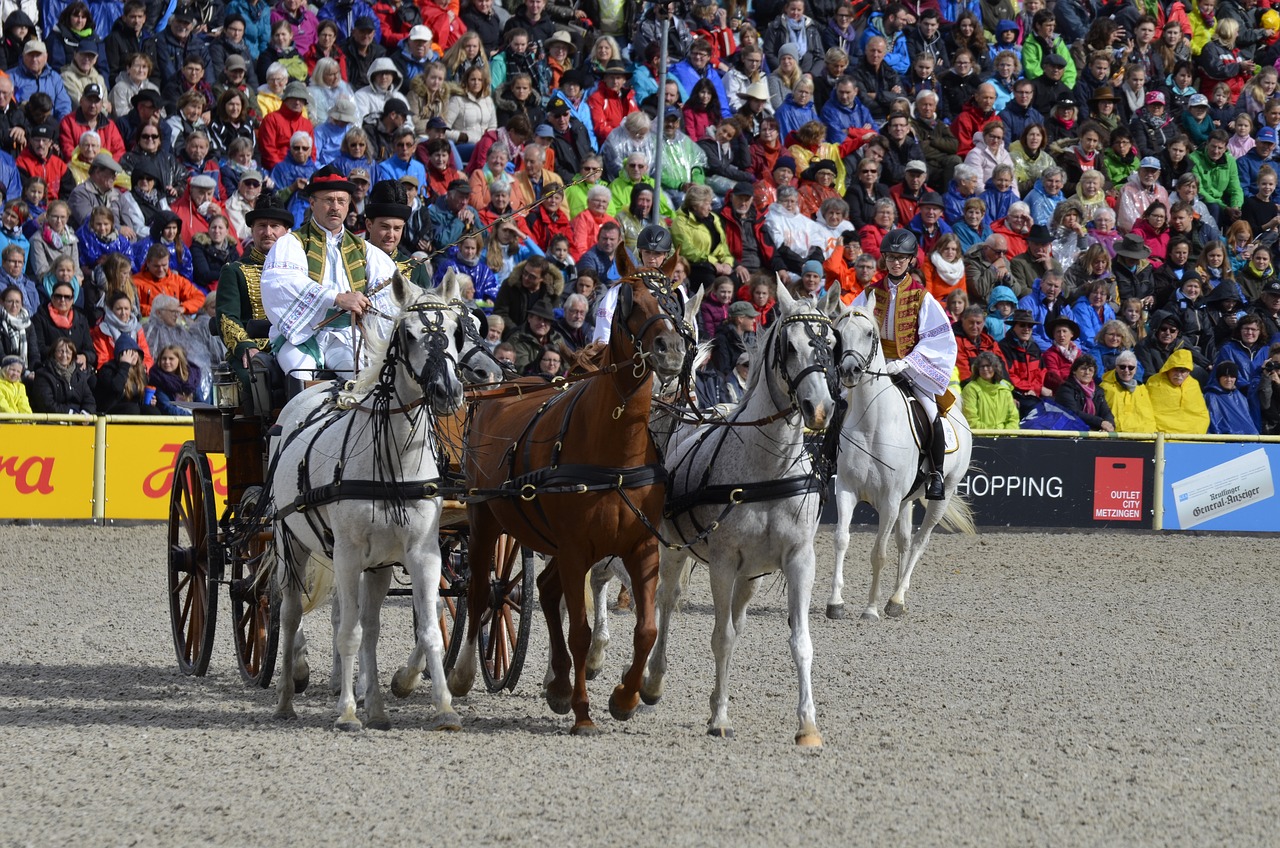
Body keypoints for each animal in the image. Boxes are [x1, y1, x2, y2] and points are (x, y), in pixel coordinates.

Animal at [272, 272, 468, 732]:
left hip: (376, 565)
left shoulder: (423, 553)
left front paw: (444, 707)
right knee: (291, 615)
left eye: (457, 331)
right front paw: (346, 712)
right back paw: (288, 695)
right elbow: (349, 633)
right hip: (291, 543)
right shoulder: (346, 553)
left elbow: (428, 630)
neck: (395, 459)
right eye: (408, 334)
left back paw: (376, 708)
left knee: (370, 625)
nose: (446, 391)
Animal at [453, 247, 691, 737]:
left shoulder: (640, 547)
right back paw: (465, 672)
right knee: (480, 593)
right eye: (630, 302)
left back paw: (559, 684)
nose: (671, 350)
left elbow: (646, 629)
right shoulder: (577, 548)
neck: (614, 448)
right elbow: (579, 629)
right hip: (485, 520)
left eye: (674, 299)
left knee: (543, 590)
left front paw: (624, 697)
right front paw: (584, 712)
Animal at [640, 286, 839, 753]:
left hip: (752, 576)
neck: (767, 468)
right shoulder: (723, 561)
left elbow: (800, 643)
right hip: (674, 549)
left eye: (831, 346)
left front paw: (807, 725)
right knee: (668, 602)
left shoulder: (799, 560)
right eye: (791, 347)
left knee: (736, 616)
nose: (820, 409)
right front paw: (720, 719)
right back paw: (653, 682)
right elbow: (722, 638)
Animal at [824, 292, 972, 625]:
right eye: (838, 334)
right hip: (907, 501)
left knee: (919, 541)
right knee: (904, 540)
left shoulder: (890, 499)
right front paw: (835, 603)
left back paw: (895, 598)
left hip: (942, 494)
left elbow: (879, 552)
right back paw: (895, 600)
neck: (871, 423)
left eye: (870, 333)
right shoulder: (846, 490)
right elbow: (840, 540)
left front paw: (870, 609)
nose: (849, 371)